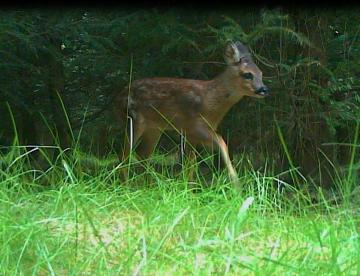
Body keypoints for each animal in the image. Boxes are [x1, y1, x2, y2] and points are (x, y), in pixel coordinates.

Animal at [116, 40, 268, 189]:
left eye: (261, 73)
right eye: (247, 74)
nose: (263, 89)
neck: (210, 101)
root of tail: (119, 96)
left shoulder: (192, 133)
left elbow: (191, 163)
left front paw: (189, 188)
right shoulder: (194, 124)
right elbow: (220, 141)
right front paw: (236, 184)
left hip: (154, 128)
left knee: (142, 154)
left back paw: (151, 185)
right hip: (133, 119)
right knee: (124, 153)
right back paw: (126, 186)